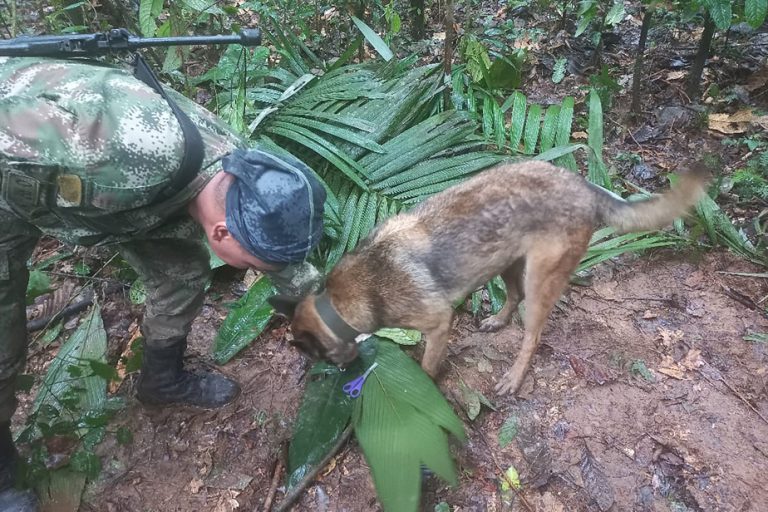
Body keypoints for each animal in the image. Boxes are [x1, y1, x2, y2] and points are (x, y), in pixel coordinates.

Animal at [268, 162, 708, 394]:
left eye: (316, 356)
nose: (342, 375)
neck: (341, 301)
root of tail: (583, 186)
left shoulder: (438, 323)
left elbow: (427, 365)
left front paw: (424, 386)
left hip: (539, 280)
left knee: (532, 335)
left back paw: (514, 376)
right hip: (507, 263)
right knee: (511, 298)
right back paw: (497, 321)